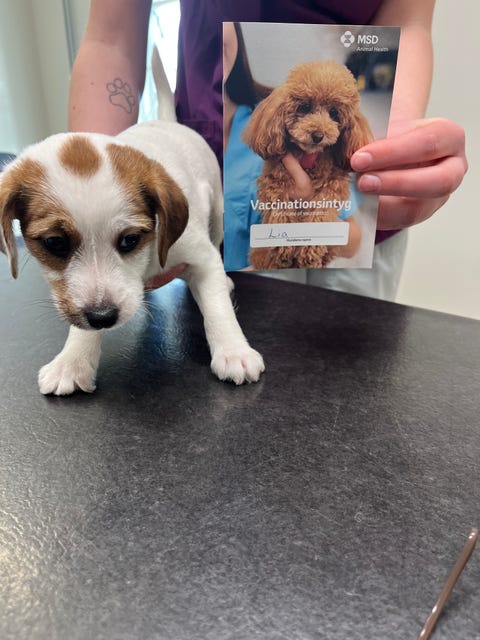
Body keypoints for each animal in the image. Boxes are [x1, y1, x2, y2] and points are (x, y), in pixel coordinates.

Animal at [0, 121, 265, 395]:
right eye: (55, 242)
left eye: (130, 239)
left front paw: (233, 350)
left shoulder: (202, 258)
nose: (103, 316)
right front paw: (73, 361)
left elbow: (217, 306)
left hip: (217, 216)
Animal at [243, 60, 372, 269]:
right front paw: (283, 247)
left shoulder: (333, 186)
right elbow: (279, 209)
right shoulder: (274, 182)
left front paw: (309, 250)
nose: (318, 135)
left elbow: (322, 211)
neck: (307, 158)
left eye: (334, 113)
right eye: (304, 107)